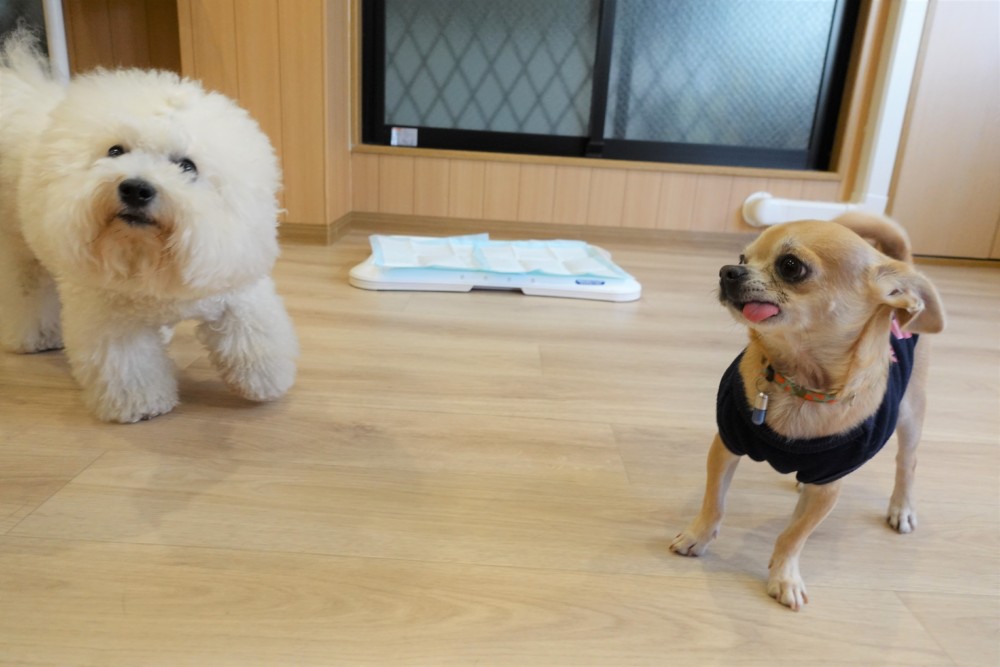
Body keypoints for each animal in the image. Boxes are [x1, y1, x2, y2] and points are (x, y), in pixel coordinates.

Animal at [0, 30, 298, 422]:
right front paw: (141, 407)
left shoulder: (234, 287)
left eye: (186, 166)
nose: (135, 188)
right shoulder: (111, 319)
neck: (149, 254)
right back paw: (34, 337)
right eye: (115, 151)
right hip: (21, 254)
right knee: (27, 293)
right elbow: (130, 367)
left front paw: (265, 382)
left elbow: (256, 337)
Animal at [669, 212, 945, 610]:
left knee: (907, 464)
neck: (799, 383)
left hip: (910, 414)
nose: (727, 271)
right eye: (741, 257)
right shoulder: (726, 447)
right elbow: (714, 503)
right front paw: (697, 538)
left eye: (790, 266)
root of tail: (901, 261)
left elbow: (794, 535)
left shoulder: (829, 485)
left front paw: (784, 577)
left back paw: (902, 508)